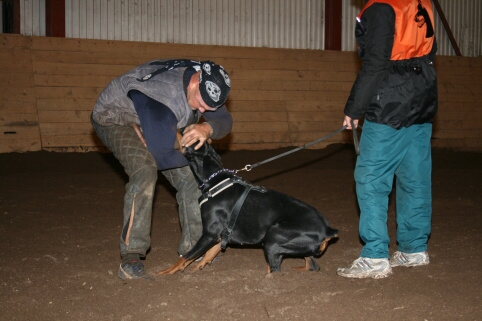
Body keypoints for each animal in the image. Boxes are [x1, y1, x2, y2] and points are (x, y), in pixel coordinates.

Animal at [159, 143, 338, 276]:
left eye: (192, 139)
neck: (215, 181)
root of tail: (327, 230)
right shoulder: (219, 234)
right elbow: (210, 252)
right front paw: (198, 267)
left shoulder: (209, 233)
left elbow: (185, 257)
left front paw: (166, 273)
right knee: (312, 266)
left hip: (273, 238)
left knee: (275, 270)